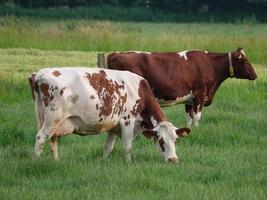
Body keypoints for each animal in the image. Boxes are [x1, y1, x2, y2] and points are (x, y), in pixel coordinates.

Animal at [28, 68, 191, 163]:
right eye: (161, 140)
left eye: (176, 140)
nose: (173, 160)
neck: (141, 91)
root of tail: (39, 74)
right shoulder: (127, 121)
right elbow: (128, 146)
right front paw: (129, 164)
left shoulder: (113, 127)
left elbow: (108, 147)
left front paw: (104, 161)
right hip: (53, 118)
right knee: (41, 137)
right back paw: (36, 161)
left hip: (52, 120)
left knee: (52, 139)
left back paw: (56, 161)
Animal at [107, 47, 258, 127]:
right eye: (245, 60)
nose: (255, 75)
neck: (210, 65)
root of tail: (115, 53)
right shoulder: (200, 94)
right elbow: (197, 117)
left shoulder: (189, 99)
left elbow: (189, 118)